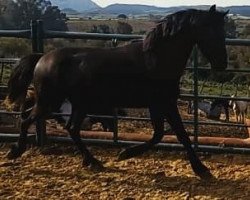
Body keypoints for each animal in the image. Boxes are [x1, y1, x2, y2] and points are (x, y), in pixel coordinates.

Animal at [6, 5, 229, 179]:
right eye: (210, 30)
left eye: (223, 31)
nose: (222, 64)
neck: (156, 60)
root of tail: (42, 58)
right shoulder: (163, 103)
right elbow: (177, 134)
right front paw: (201, 169)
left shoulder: (160, 104)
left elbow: (164, 134)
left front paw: (125, 153)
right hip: (50, 101)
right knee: (27, 119)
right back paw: (16, 151)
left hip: (78, 104)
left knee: (71, 128)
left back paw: (92, 161)